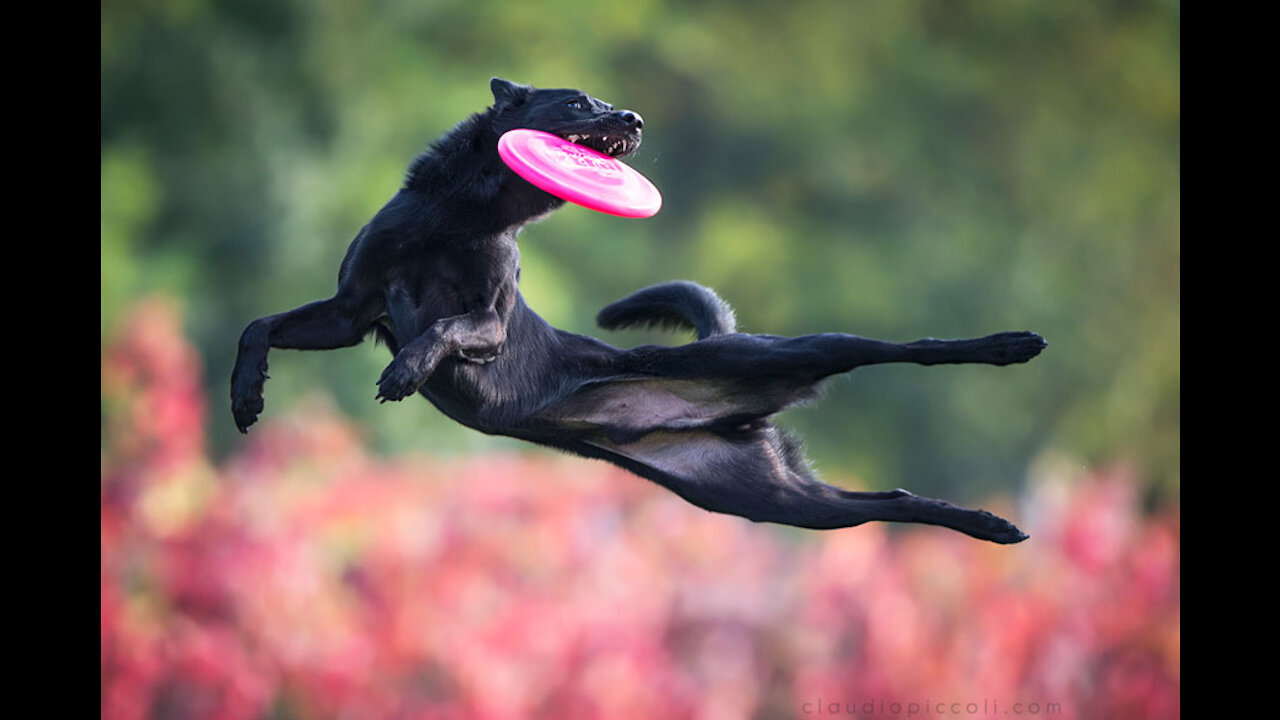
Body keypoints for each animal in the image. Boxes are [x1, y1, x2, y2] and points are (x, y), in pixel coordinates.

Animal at [232, 77, 1049, 538]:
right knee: (887, 498)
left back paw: (1011, 346)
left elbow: (445, 328)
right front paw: (246, 396)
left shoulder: (488, 323)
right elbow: (257, 326)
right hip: (770, 499)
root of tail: (734, 416)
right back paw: (989, 524)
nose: (634, 117)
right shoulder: (348, 310)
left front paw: (405, 370)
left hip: (793, 354)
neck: (460, 216)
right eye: (577, 101)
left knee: (899, 348)